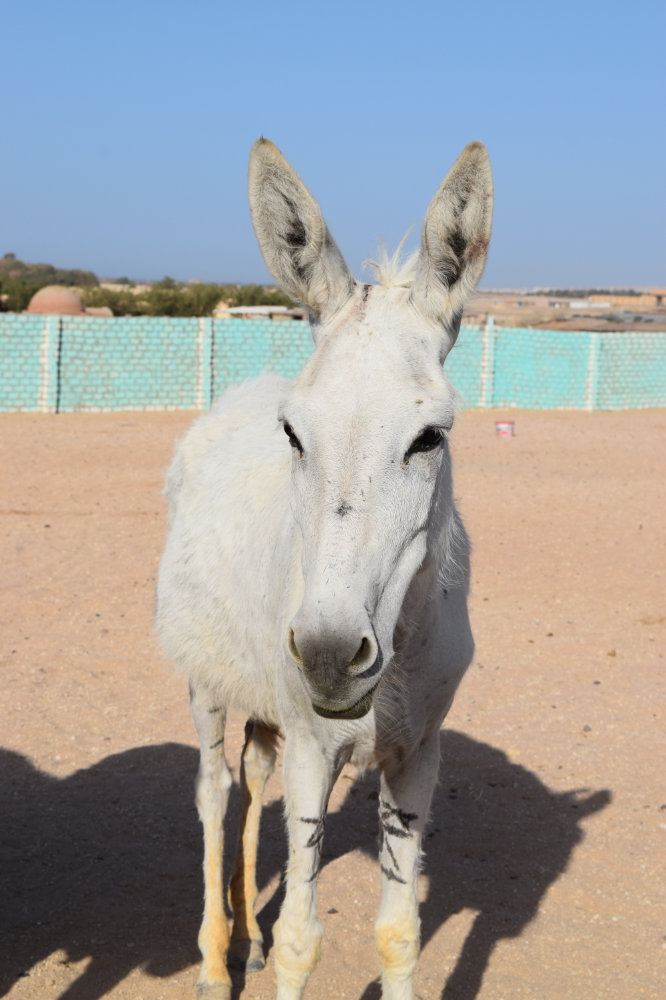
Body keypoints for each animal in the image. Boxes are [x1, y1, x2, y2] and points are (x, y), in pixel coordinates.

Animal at [156, 137, 493, 1000]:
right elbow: (304, 936)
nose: (332, 655)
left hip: (273, 710)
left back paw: (243, 937)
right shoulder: (315, 749)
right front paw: (263, 948)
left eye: (432, 436)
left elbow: (400, 934)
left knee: (250, 779)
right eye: (293, 433)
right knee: (213, 796)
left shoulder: (415, 755)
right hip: (205, 686)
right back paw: (214, 961)